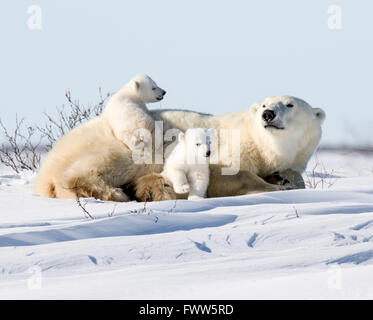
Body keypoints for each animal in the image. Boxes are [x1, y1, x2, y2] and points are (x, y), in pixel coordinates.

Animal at [35, 94, 324, 201]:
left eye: (289, 104)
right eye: (264, 103)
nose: (267, 114)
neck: (265, 148)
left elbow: (294, 174)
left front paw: (283, 178)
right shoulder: (231, 147)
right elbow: (226, 173)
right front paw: (274, 186)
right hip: (117, 145)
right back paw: (114, 192)